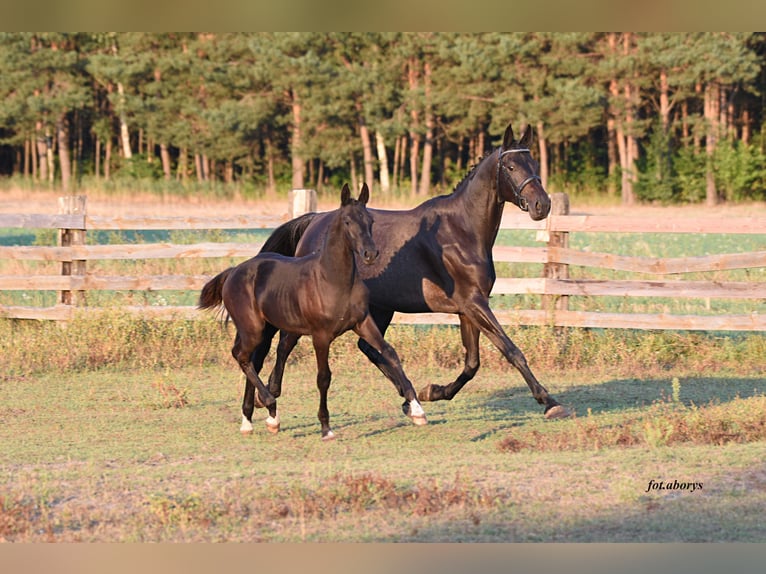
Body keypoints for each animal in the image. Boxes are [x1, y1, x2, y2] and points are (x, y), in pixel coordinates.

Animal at [198, 183, 428, 440]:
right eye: (347, 221)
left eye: (370, 220)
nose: (370, 253)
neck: (332, 280)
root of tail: (233, 271)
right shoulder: (321, 336)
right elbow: (323, 378)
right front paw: (326, 428)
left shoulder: (363, 323)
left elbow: (390, 353)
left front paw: (417, 410)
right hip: (253, 329)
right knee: (242, 356)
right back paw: (271, 412)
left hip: (264, 328)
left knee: (252, 358)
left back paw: (251, 421)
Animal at [255, 123, 570, 421]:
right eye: (511, 166)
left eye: (535, 165)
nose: (542, 205)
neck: (462, 231)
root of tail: (313, 221)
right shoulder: (474, 303)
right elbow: (511, 350)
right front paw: (550, 402)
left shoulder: (467, 308)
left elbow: (472, 363)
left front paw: (433, 391)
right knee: (286, 344)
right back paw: (268, 394)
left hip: (381, 308)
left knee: (369, 349)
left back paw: (409, 398)